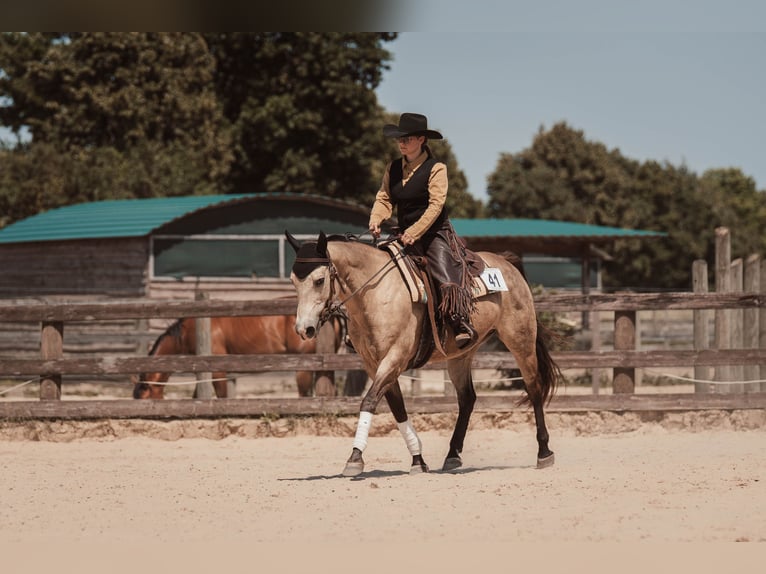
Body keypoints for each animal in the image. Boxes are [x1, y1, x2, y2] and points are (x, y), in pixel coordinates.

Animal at [286, 230, 560, 477]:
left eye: (319, 280)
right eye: (293, 281)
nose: (303, 329)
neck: (376, 295)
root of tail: (506, 263)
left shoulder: (395, 358)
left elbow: (370, 401)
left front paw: (355, 458)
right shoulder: (374, 364)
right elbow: (397, 408)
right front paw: (418, 460)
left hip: (520, 341)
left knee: (534, 388)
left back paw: (544, 452)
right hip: (460, 355)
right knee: (467, 398)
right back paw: (452, 455)